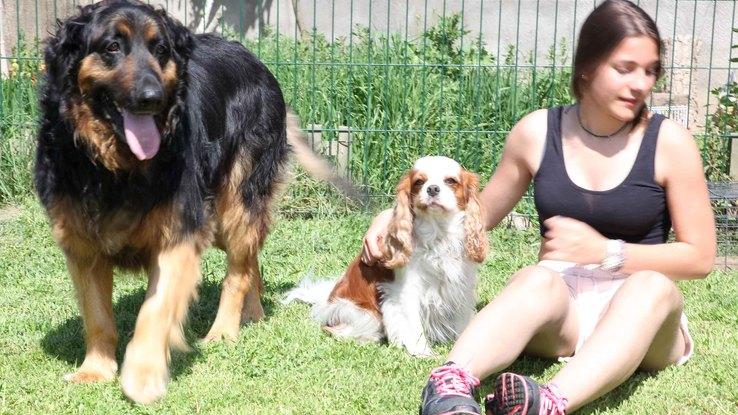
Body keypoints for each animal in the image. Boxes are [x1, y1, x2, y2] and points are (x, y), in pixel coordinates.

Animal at [35, 0, 356, 404]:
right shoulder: (82, 244)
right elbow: (97, 316)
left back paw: (225, 329)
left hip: (235, 202)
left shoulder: (181, 233)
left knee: (238, 269)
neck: (117, 166)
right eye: (112, 47)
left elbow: (154, 311)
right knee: (250, 259)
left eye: (160, 50)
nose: (152, 98)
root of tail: (256, 59)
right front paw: (95, 370)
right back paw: (253, 310)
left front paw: (143, 377)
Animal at [284, 157, 488, 358]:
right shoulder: (405, 292)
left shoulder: (460, 287)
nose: (432, 189)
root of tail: (326, 301)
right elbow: (413, 324)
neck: (438, 234)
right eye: (419, 182)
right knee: (336, 330)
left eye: (451, 181)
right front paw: (421, 352)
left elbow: (462, 320)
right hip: (364, 315)